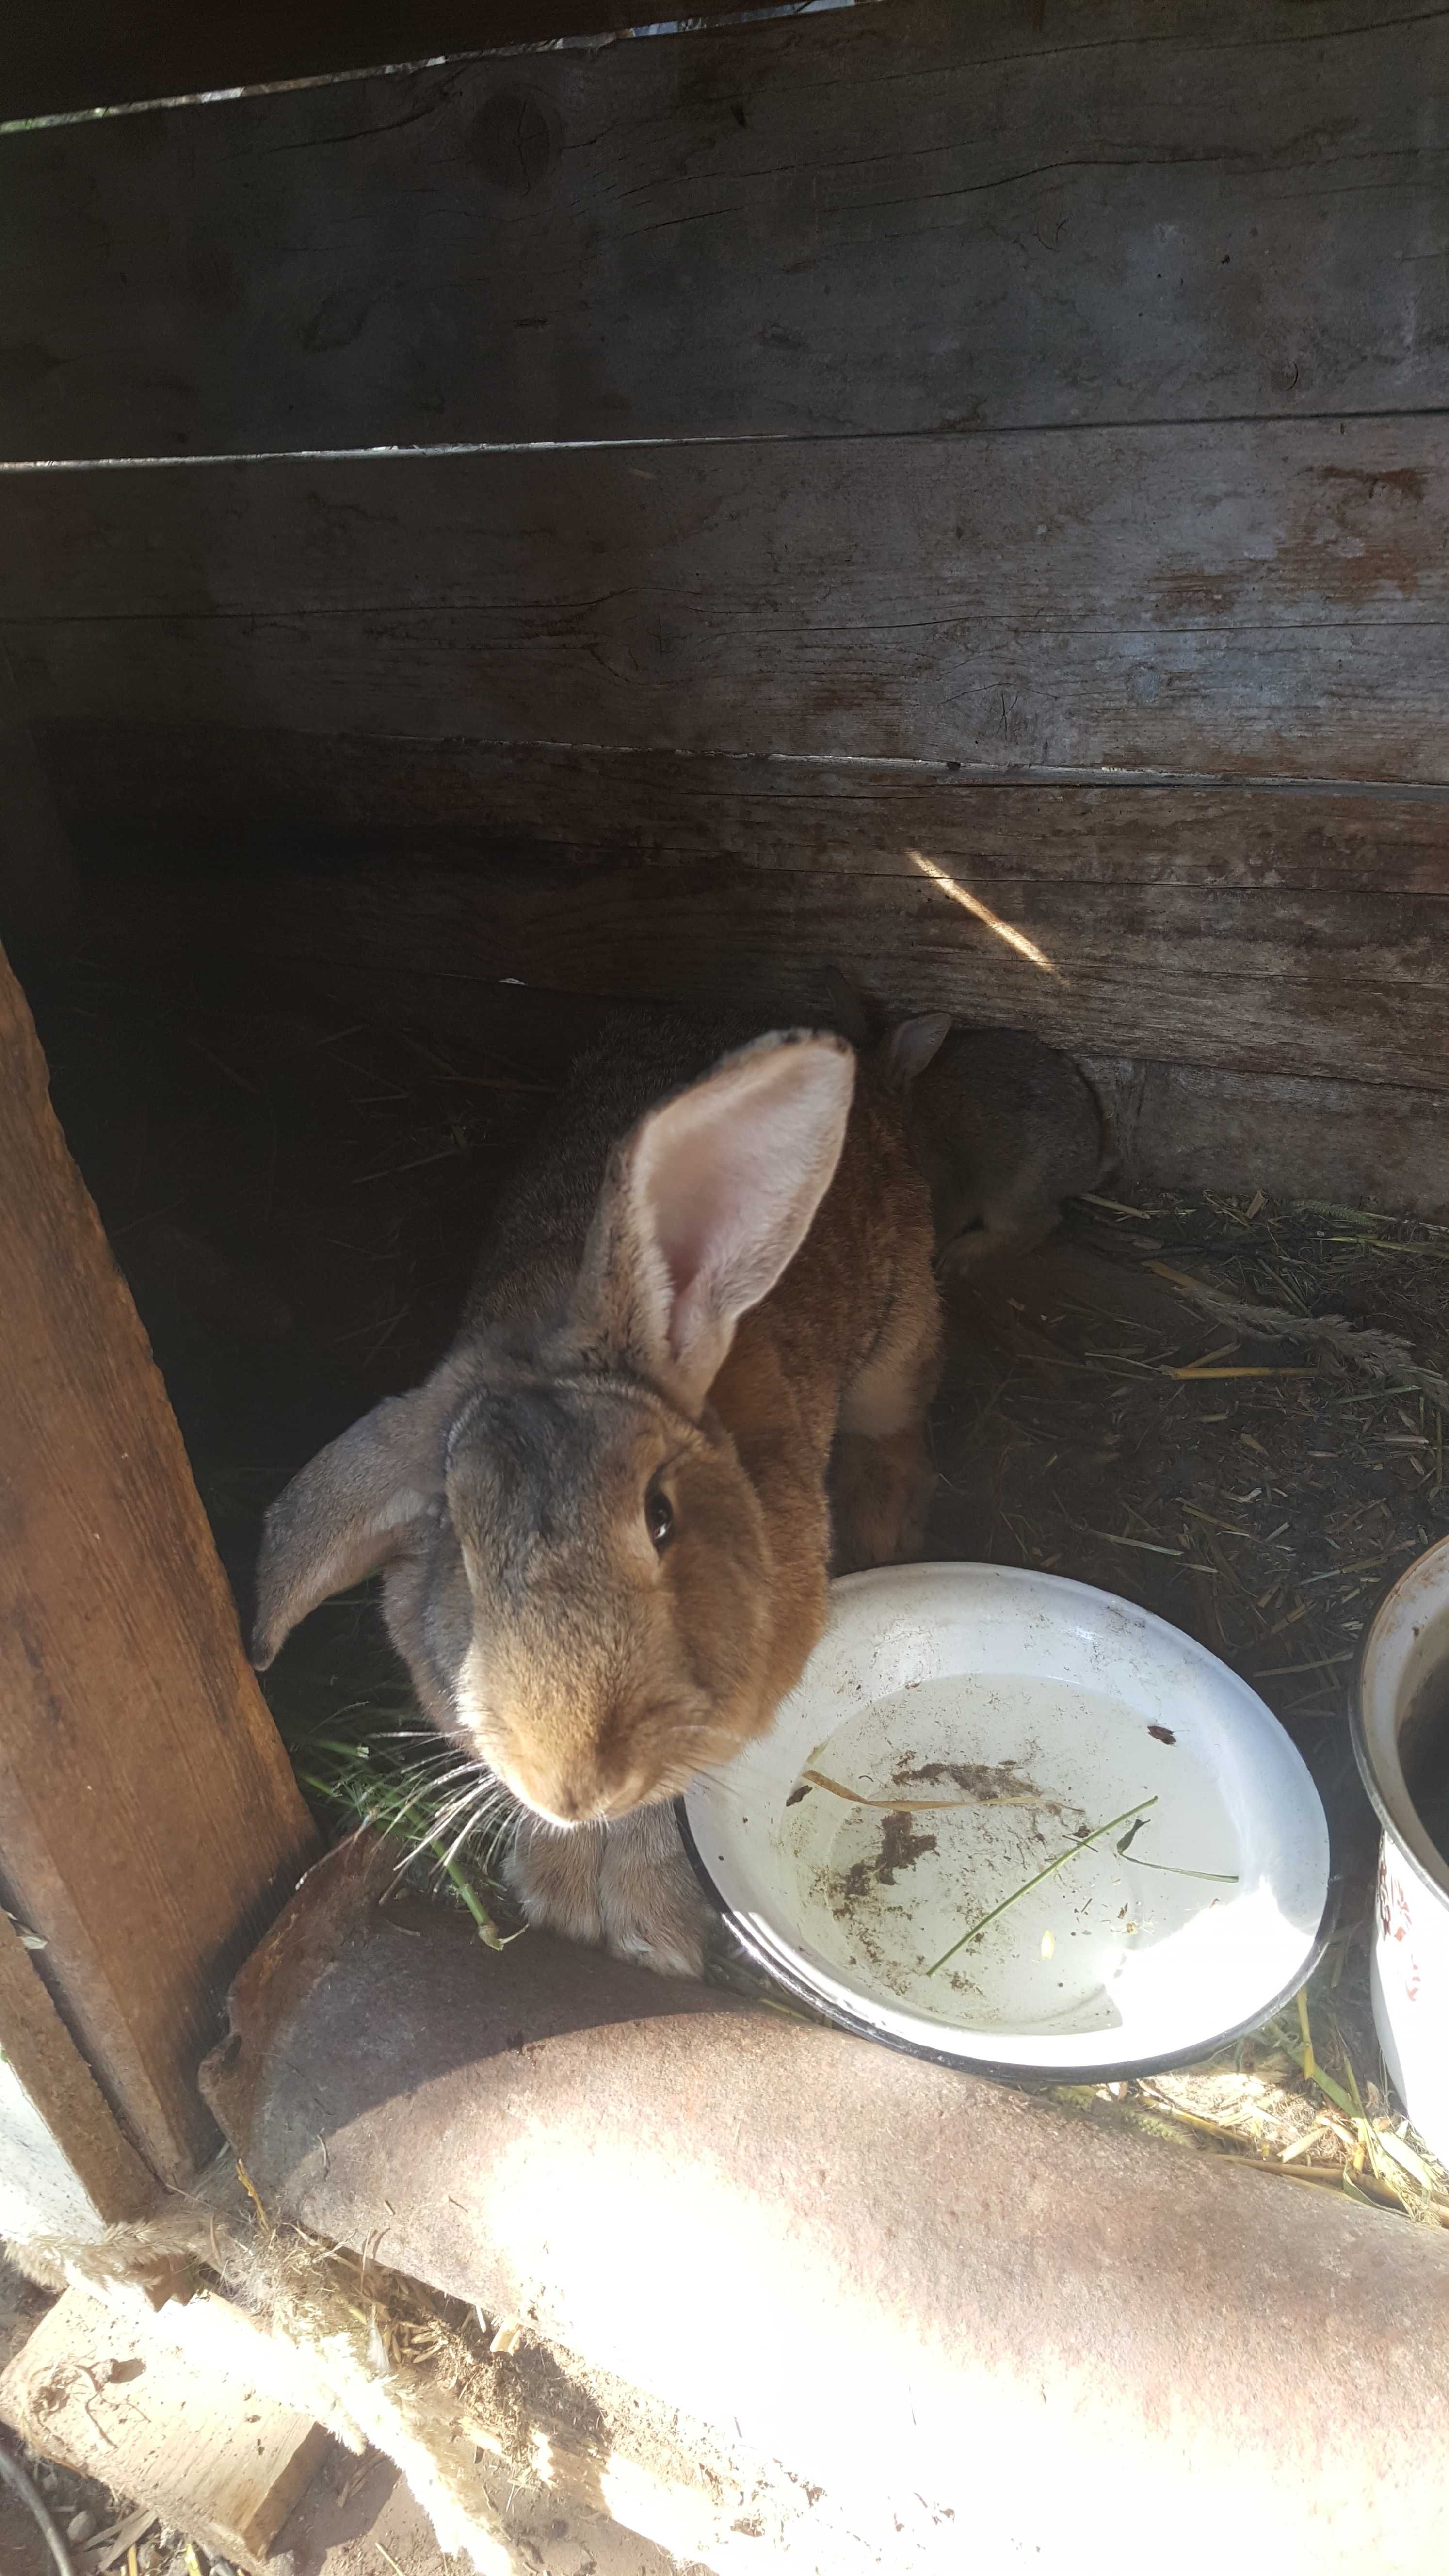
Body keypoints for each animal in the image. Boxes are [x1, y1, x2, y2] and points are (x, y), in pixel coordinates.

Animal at [251, 1004, 938, 1968]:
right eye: (458, 1545)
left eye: (659, 1518)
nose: (573, 1784)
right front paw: (565, 1892)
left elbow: (666, 1806)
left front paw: (652, 1925)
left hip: (898, 1342)